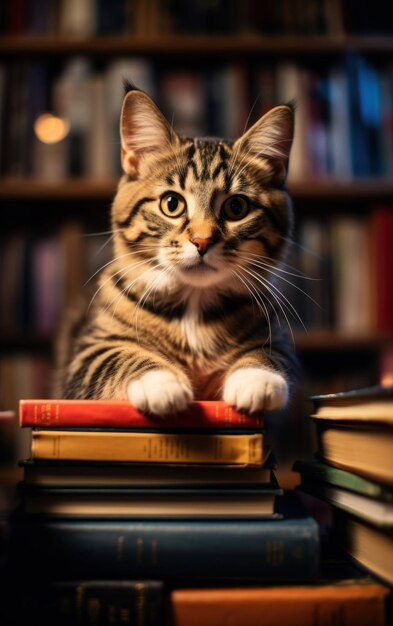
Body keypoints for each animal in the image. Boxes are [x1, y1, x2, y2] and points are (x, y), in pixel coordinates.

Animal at [53, 83, 298, 414]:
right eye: (172, 204)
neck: (194, 306)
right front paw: (161, 384)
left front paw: (257, 380)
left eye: (236, 208)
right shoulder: (89, 350)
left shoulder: (278, 337)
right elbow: (119, 356)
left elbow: (269, 353)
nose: (202, 241)